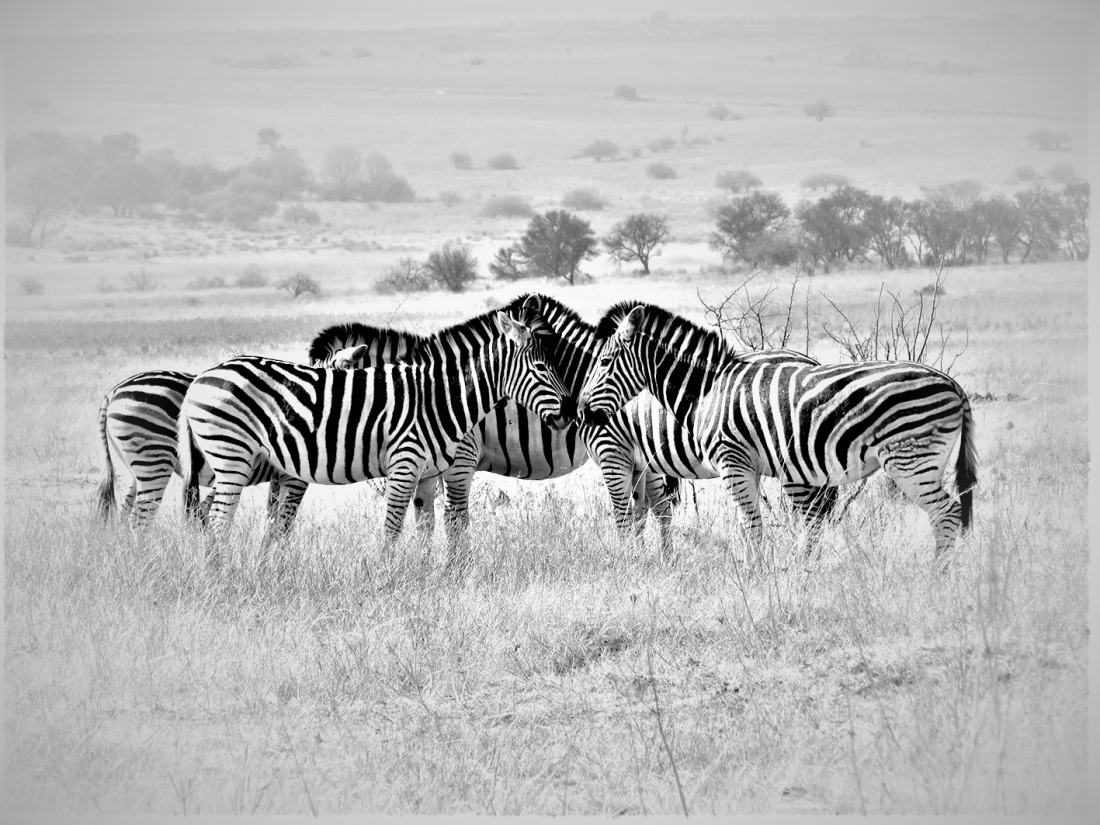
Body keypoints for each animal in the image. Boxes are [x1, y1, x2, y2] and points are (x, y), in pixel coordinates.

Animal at [177, 307, 571, 565]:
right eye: (541, 367)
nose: (570, 413)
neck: (439, 397)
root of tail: (203, 376)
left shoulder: (427, 475)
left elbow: (425, 529)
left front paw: (425, 580)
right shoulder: (405, 464)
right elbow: (392, 529)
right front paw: (384, 579)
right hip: (232, 456)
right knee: (218, 521)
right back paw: (221, 577)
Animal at [576, 301, 977, 568]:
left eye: (604, 362)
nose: (581, 412)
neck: (707, 391)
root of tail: (953, 384)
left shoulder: (731, 462)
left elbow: (751, 525)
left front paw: (753, 576)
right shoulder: (747, 467)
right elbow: (751, 525)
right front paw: (757, 571)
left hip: (910, 460)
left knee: (947, 513)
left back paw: (938, 578)